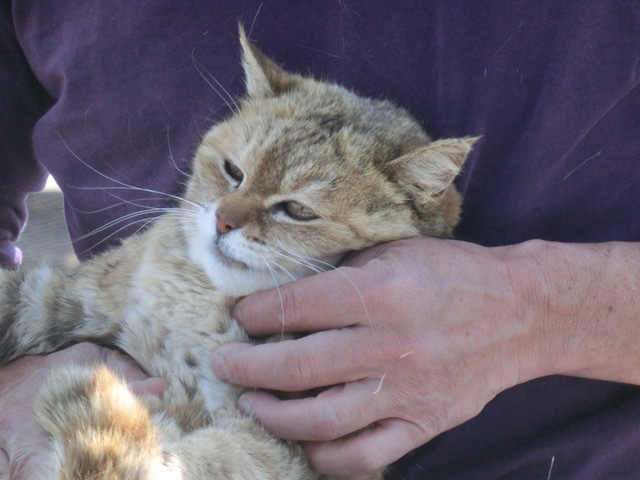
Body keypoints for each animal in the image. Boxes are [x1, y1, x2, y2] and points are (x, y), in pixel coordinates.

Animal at [0, 29, 478, 480]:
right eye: (233, 171)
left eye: (297, 210)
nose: (224, 222)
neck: (201, 300)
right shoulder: (66, 294)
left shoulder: (282, 444)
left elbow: (174, 460)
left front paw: (94, 407)